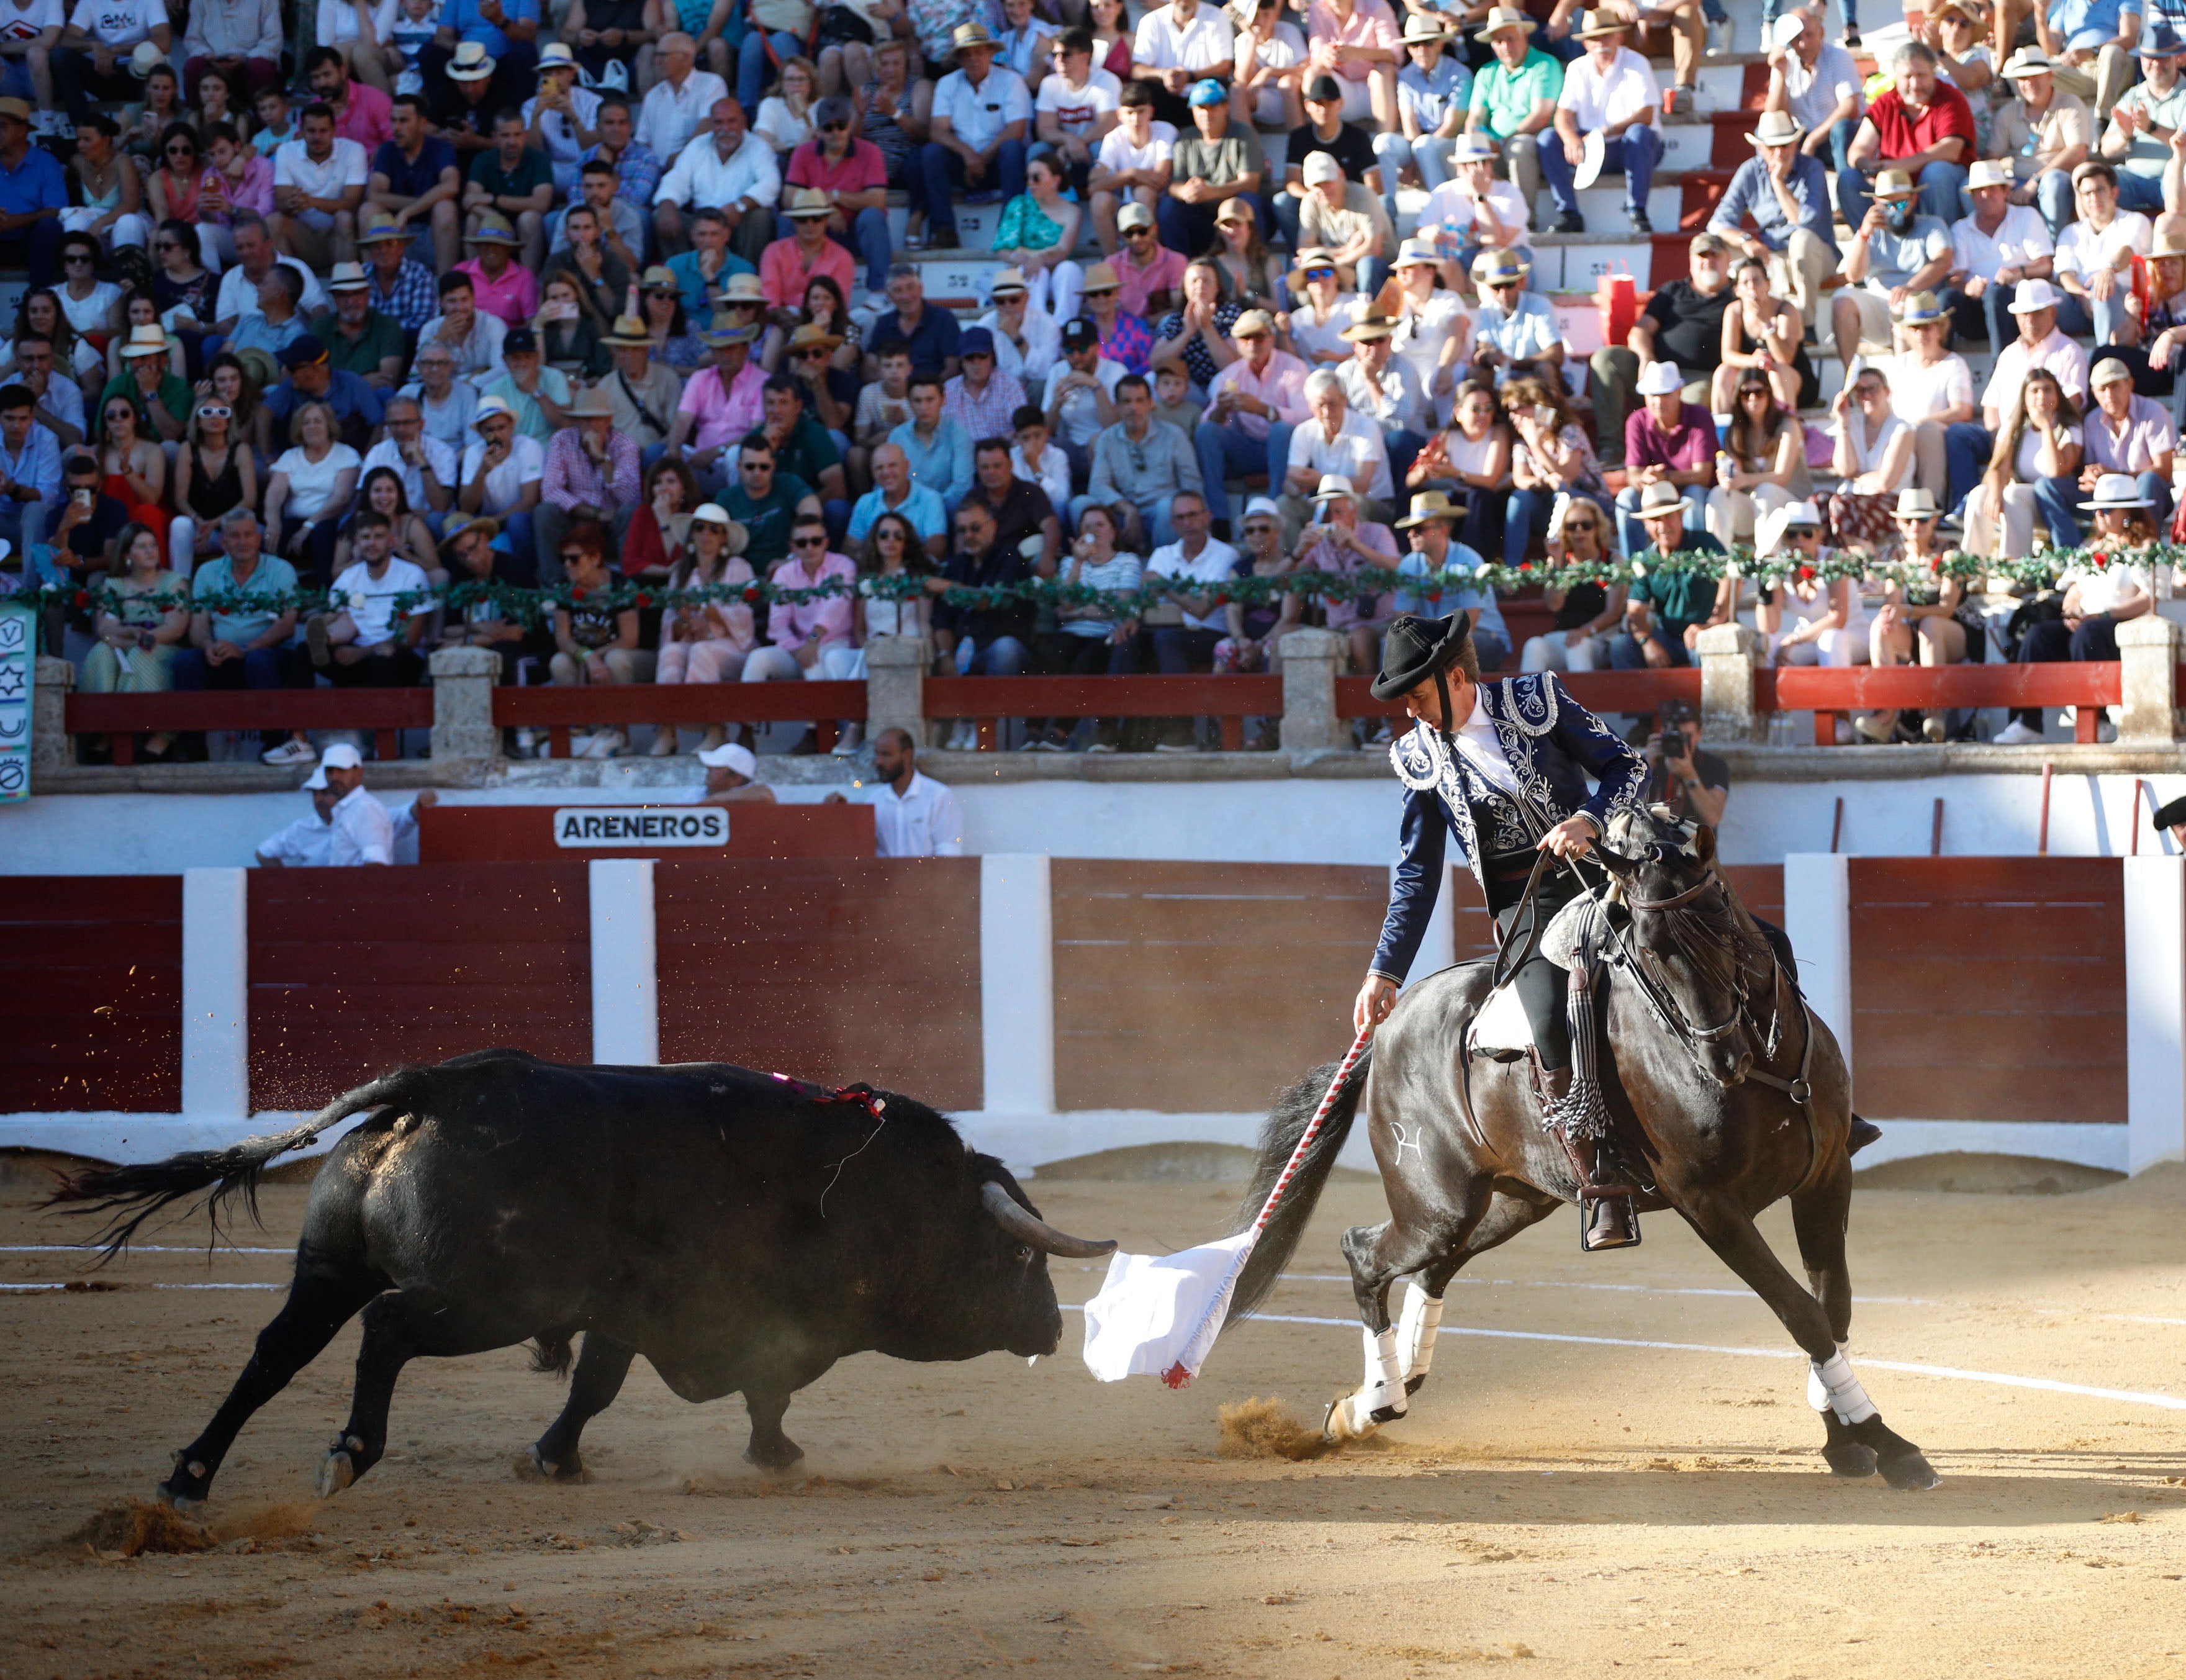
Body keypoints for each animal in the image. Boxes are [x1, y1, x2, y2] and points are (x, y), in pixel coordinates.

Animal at [45, 1049, 1119, 1502]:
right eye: (1022, 1254)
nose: (1054, 1328)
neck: (887, 1195)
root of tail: (446, 1085)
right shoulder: (757, 1323)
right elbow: (761, 1392)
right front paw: (778, 1455)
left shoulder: (630, 1313)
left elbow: (596, 1385)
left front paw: (553, 1457)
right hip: (488, 1299)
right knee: (388, 1331)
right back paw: (348, 1453)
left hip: (329, 1264)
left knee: (276, 1350)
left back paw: (188, 1476)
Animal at [1224, 803, 1941, 1485]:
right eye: (1645, 948)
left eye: (1719, 919)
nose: (1722, 1057)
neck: (1767, 1069)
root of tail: (1385, 1027)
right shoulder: (1709, 1205)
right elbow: (1800, 1311)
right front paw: (1886, 1443)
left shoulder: (1826, 1177)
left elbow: (1833, 1306)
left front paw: (1842, 1436)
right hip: (1437, 1203)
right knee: (1366, 1253)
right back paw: (1374, 1401)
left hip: (1517, 1199)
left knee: (1433, 1269)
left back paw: (1369, 1404)